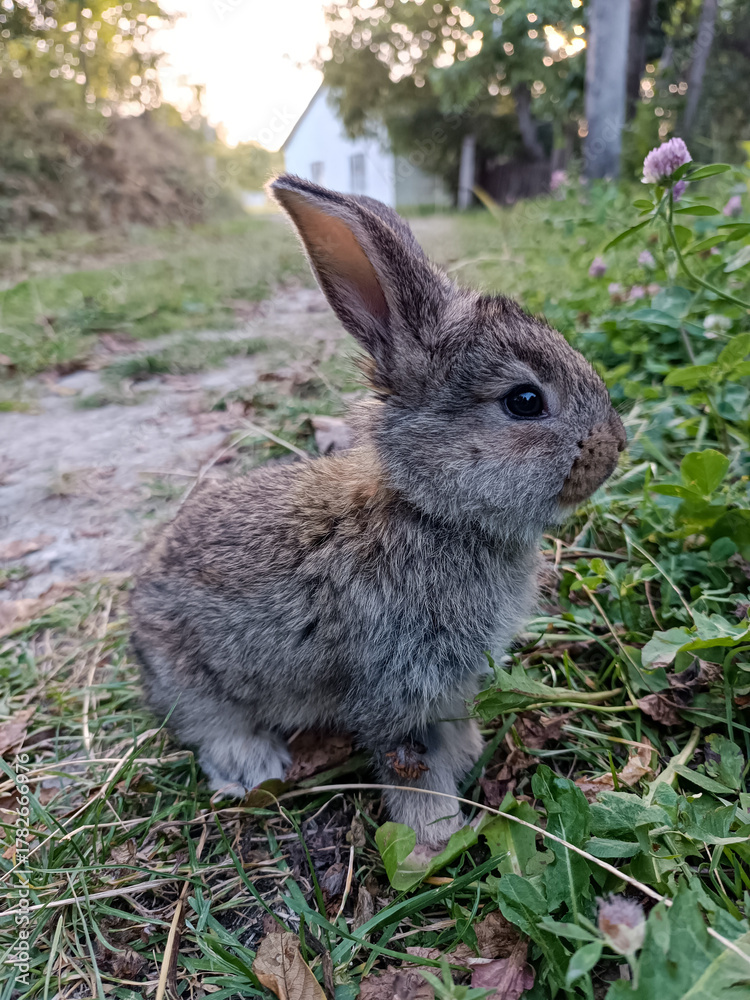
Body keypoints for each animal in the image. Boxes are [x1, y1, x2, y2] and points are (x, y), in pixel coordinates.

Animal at [129, 173, 626, 847]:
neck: (429, 510)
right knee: (207, 723)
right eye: (525, 401)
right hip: (195, 676)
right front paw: (433, 835)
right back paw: (254, 763)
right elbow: (409, 759)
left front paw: (468, 754)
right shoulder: (394, 681)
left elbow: (451, 724)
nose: (616, 445)